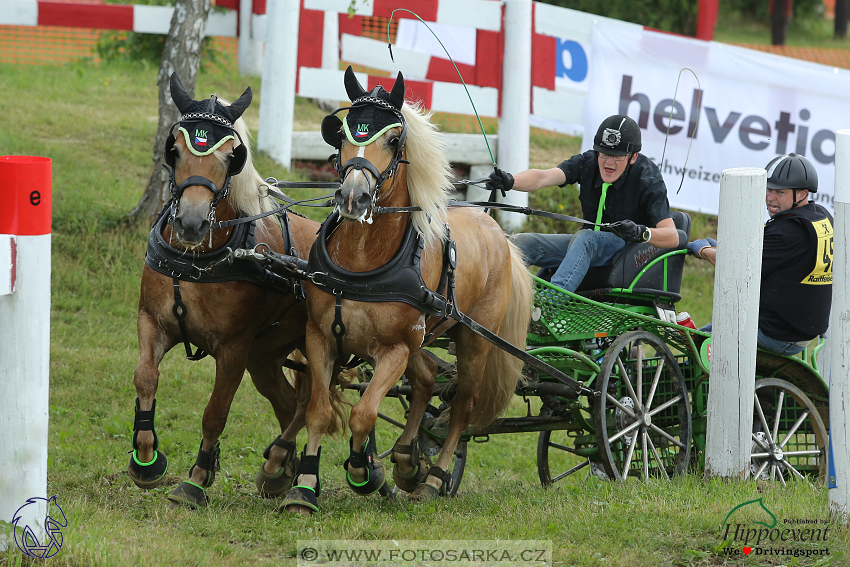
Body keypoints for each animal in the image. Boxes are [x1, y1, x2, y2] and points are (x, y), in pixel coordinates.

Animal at [127, 72, 322, 510]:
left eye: (232, 155)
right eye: (174, 149)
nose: (192, 222)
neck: (198, 260)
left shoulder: (233, 349)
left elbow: (215, 413)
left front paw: (196, 479)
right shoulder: (152, 321)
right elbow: (145, 376)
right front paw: (145, 459)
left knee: (313, 403)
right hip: (265, 355)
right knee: (288, 401)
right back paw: (279, 469)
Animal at [278, 67, 528, 516]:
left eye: (394, 140)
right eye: (342, 135)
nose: (353, 196)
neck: (363, 264)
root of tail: (495, 229)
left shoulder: (393, 349)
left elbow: (364, 414)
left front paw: (363, 471)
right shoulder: (320, 337)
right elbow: (318, 411)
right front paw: (303, 487)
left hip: (472, 342)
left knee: (462, 405)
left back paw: (434, 477)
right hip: (422, 339)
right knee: (427, 379)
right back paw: (408, 459)